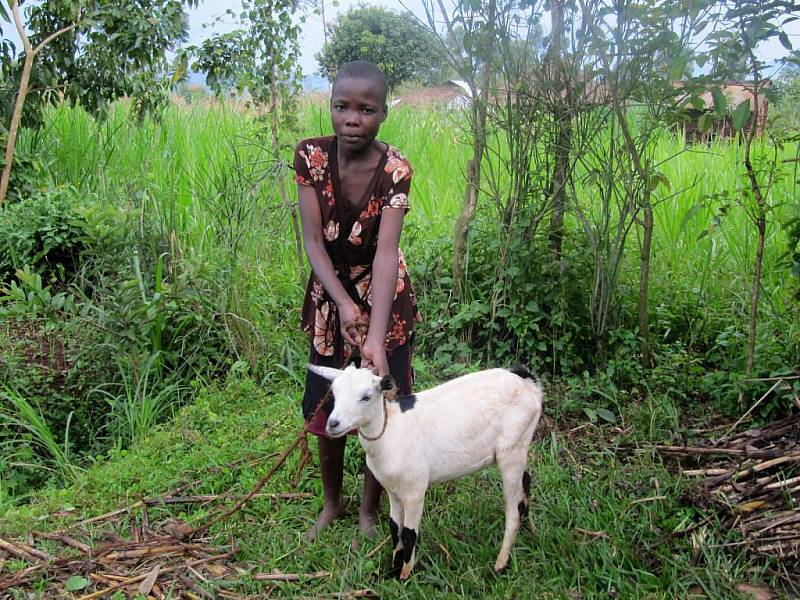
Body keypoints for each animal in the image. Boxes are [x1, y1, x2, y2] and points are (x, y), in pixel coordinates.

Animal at [306, 364, 544, 580]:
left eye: (366, 397)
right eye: (334, 393)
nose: (333, 424)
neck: (391, 431)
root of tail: (526, 379)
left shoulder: (415, 490)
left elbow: (409, 534)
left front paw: (404, 576)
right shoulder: (392, 489)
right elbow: (394, 528)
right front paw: (392, 570)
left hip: (511, 448)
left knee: (513, 508)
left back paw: (501, 565)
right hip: (521, 444)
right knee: (526, 480)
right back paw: (527, 530)